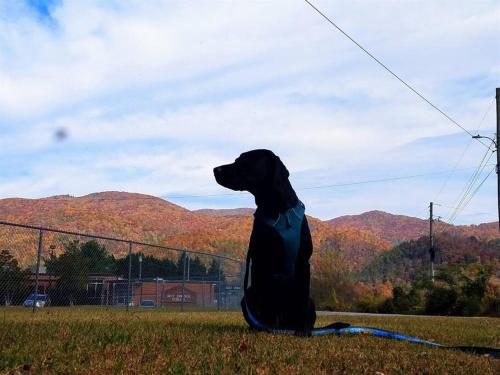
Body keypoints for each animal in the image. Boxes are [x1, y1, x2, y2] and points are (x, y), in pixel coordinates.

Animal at [213, 149, 314, 332]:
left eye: (244, 161)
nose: (215, 170)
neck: (278, 211)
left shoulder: (304, 262)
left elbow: (302, 301)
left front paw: (303, 331)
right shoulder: (259, 260)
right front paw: (261, 327)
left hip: (311, 302)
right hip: (248, 295)